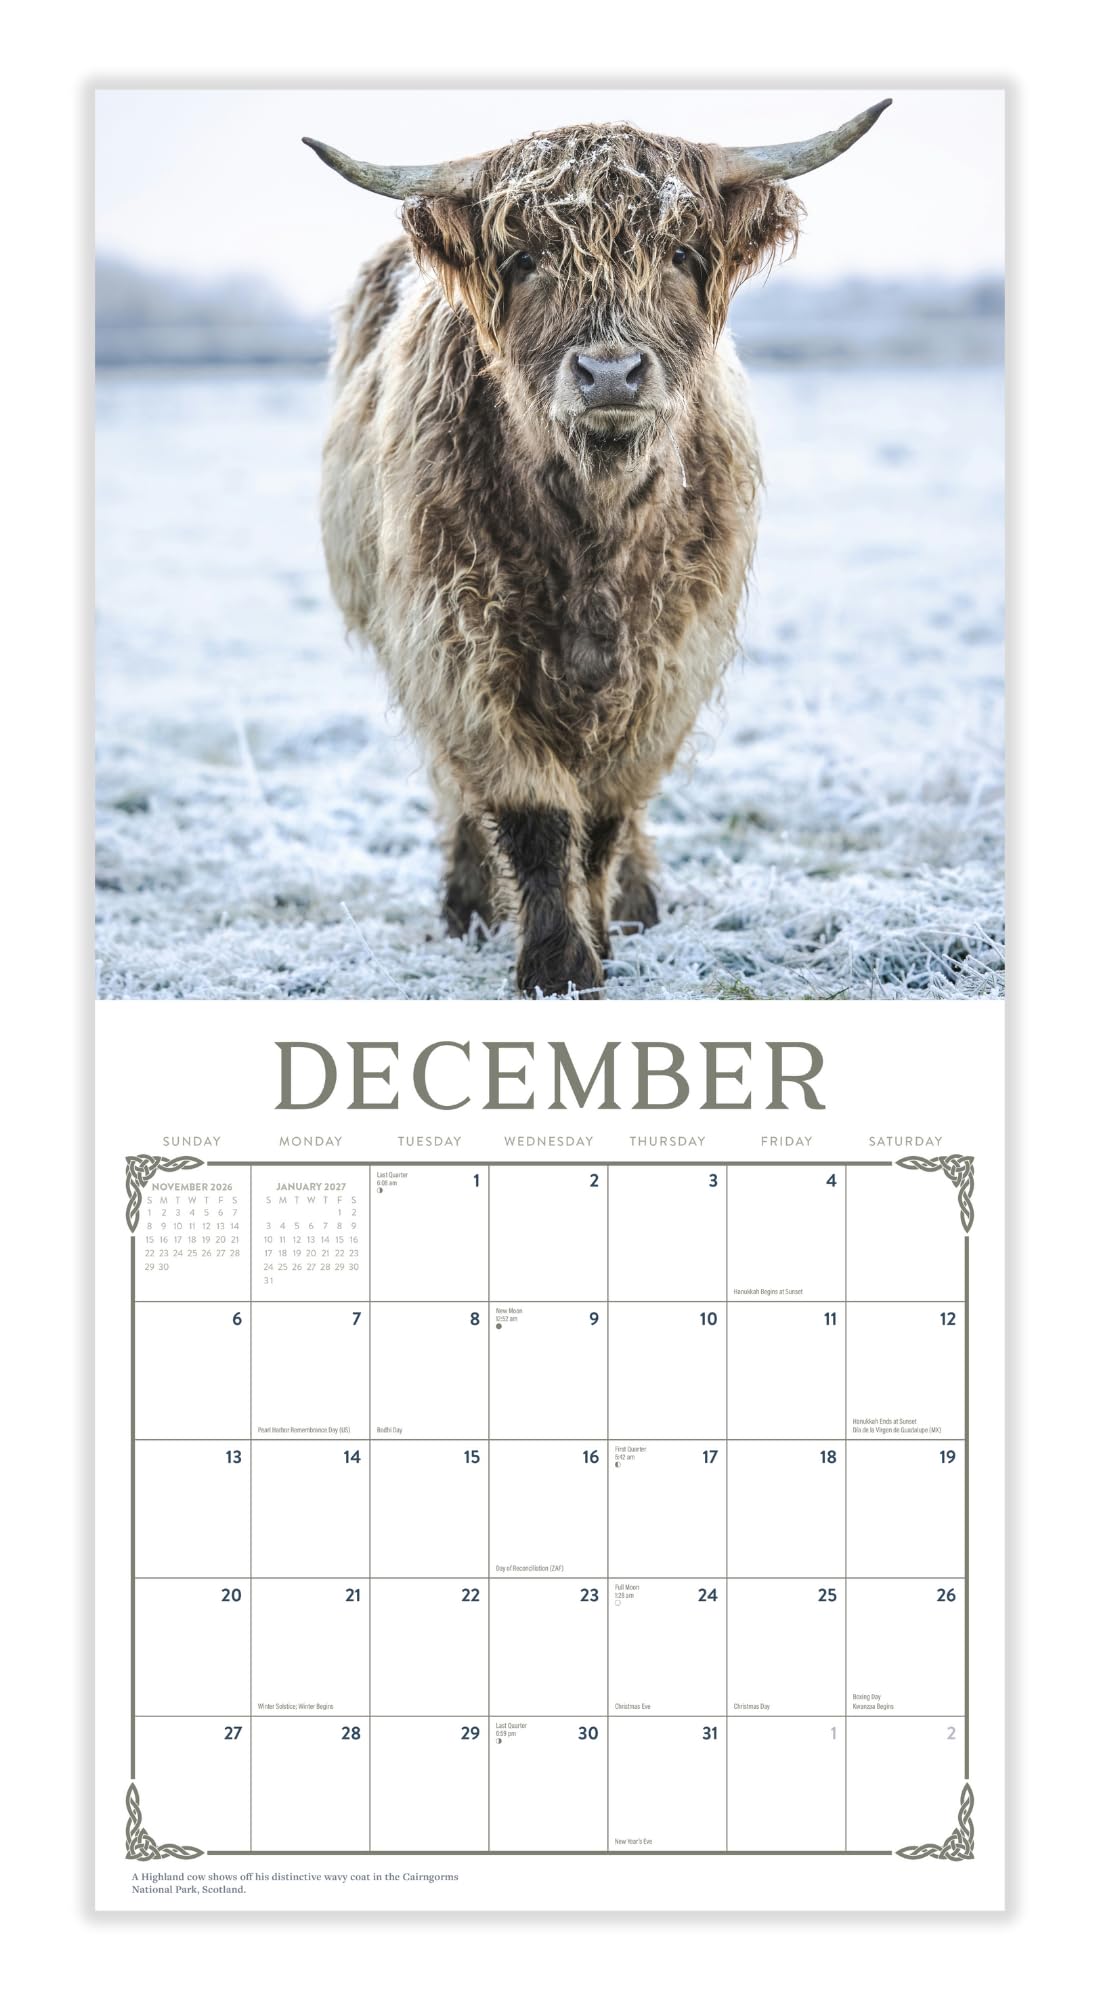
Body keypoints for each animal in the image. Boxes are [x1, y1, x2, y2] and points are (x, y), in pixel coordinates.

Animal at [305, 101, 890, 996]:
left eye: (681, 254)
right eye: (524, 259)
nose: (610, 374)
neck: (595, 536)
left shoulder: (673, 657)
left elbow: (608, 811)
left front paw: (601, 934)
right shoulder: (458, 644)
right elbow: (535, 815)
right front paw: (556, 962)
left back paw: (637, 902)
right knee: (454, 786)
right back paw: (469, 905)